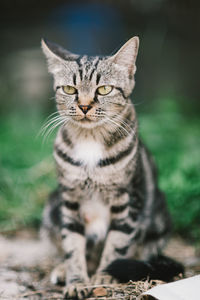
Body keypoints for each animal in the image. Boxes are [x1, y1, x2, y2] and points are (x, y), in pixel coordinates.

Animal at [41, 37, 184, 298]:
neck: (90, 141)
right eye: (70, 90)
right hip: (51, 207)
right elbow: (72, 244)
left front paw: (104, 277)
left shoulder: (127, 201)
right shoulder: (70, 200)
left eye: (104, 89)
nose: (84, 106)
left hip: (159, 219)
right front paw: (76, 280)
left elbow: (115, 244)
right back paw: (63, 269)